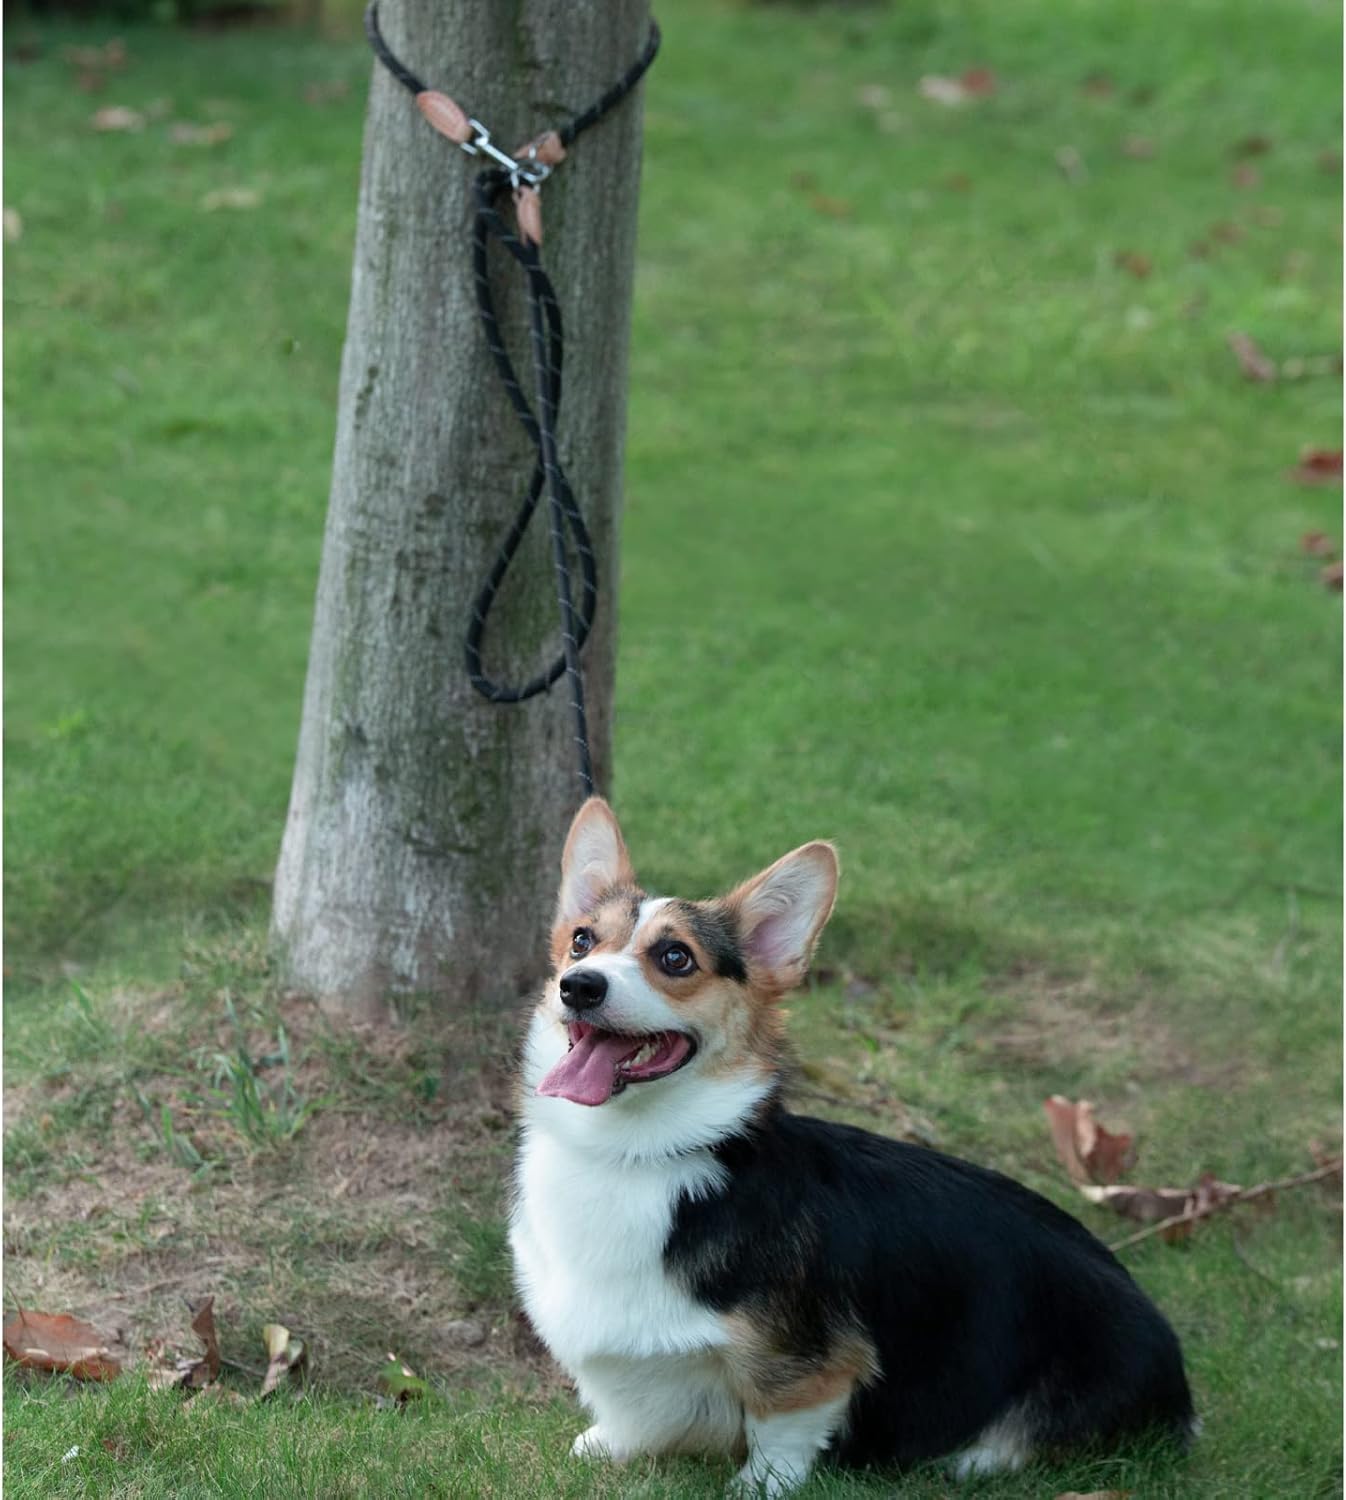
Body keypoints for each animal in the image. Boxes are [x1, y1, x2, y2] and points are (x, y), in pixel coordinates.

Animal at [510, 798, 1194, 1488]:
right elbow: (631, 1412)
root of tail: (1180, 1380)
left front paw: (758, 1487)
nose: (580, 986)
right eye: (582, 941)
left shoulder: (809, 1365)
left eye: (676, 957)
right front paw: (605, 1445)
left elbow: (780, 1431)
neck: (629, 1152)